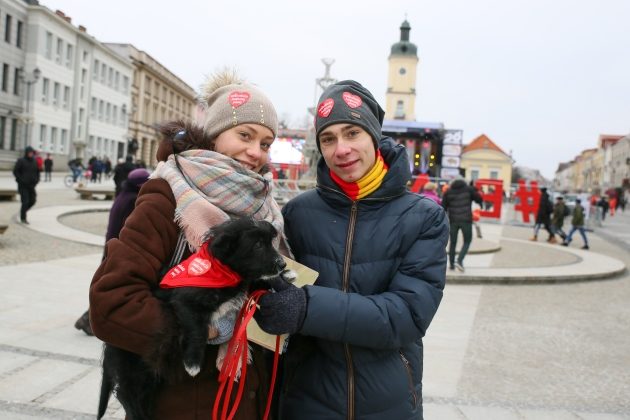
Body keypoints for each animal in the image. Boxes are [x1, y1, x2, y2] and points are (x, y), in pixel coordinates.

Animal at [97, 220, 292, 420]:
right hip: (135, 371)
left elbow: (255, 283)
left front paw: (286, 278)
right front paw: (193, 363)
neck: (220, 270)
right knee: (130, 397)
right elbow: (198, 330)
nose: (283, 263)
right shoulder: (186, 303)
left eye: (270, 243)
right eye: (258, 245)